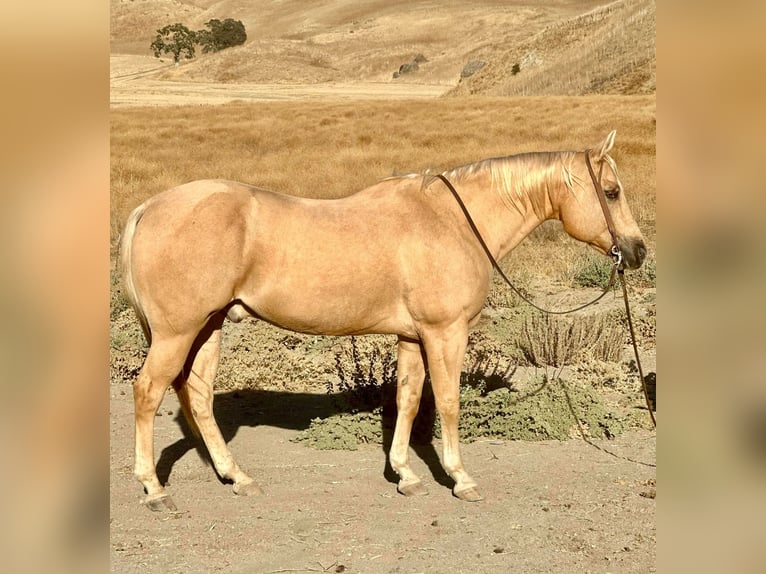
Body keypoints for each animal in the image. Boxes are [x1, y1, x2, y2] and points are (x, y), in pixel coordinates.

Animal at [120, 132, 648, 512]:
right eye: (611, 191)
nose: (638, 251)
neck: (453, 221)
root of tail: (149, 208)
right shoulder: (445, 332)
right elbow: (448, 403)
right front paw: (460, 478)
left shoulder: (412, 336)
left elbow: (408, 401)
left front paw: (406, 474)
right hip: (177, 333)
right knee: (148, 393)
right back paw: (154, 488)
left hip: (208, 328)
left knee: (198, 397)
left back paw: (237, 477)